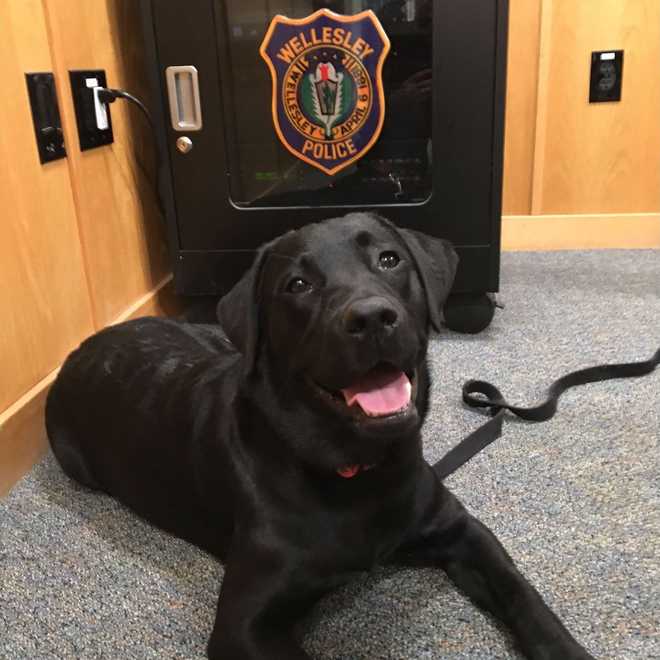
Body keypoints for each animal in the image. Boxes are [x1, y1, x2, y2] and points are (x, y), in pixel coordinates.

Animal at [46, 213, 592, 660]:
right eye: (298, 284)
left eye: (389, 259)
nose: (371, 317)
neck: (359, 470)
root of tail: (82, 347)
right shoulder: (244, 626)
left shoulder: (462, 530)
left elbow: (525, 597)